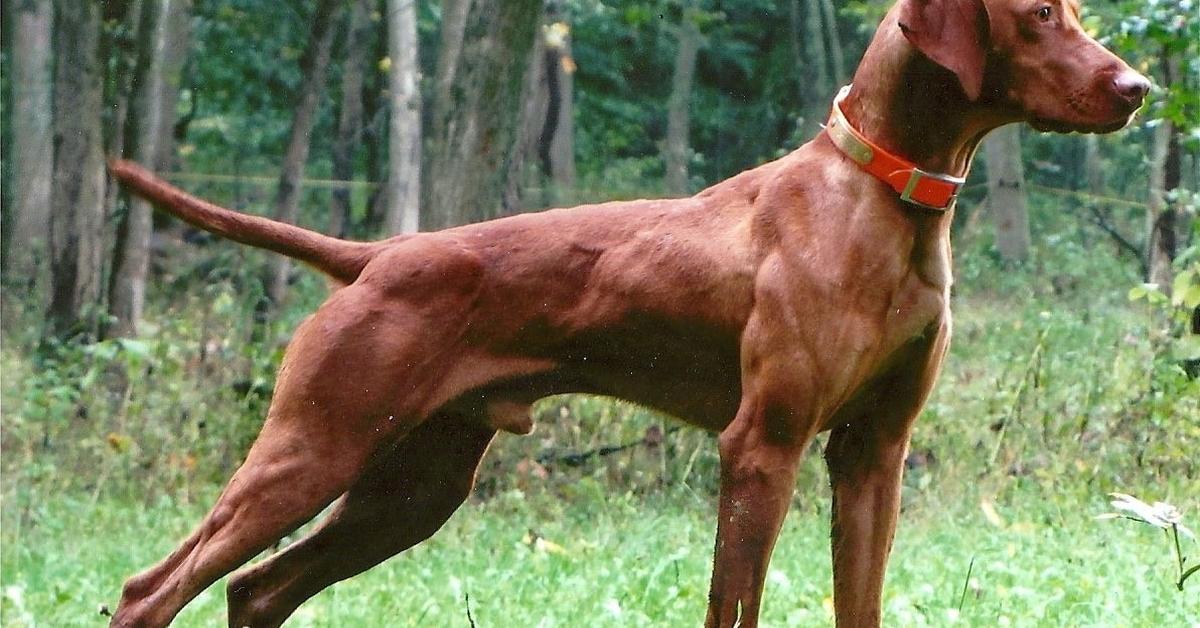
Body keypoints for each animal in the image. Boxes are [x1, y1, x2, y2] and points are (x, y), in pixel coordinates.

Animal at [108, 0, 1147, 624]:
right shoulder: (761, 445)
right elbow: (734, 605)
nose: (1138, 88)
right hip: (314, 448)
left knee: (256, 590)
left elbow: (861, 601)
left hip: (412, 486)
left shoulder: (873, 454)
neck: (883, 200)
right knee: (153, 588)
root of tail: (375, 257)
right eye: (1039, 14)